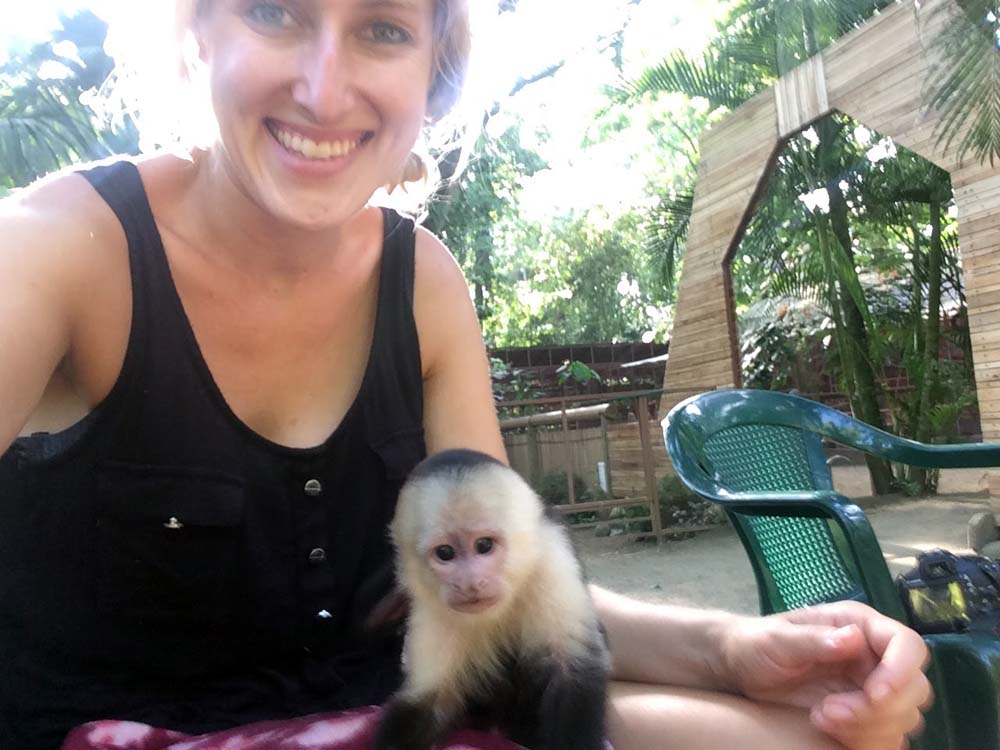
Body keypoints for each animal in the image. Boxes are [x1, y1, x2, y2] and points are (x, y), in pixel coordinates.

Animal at [376, 452, 608, 750]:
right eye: (445, 552)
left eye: (484, 545)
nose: (470, 583)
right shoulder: (430, 605)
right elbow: (430, 699)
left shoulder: (552, 560)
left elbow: (570, 671)